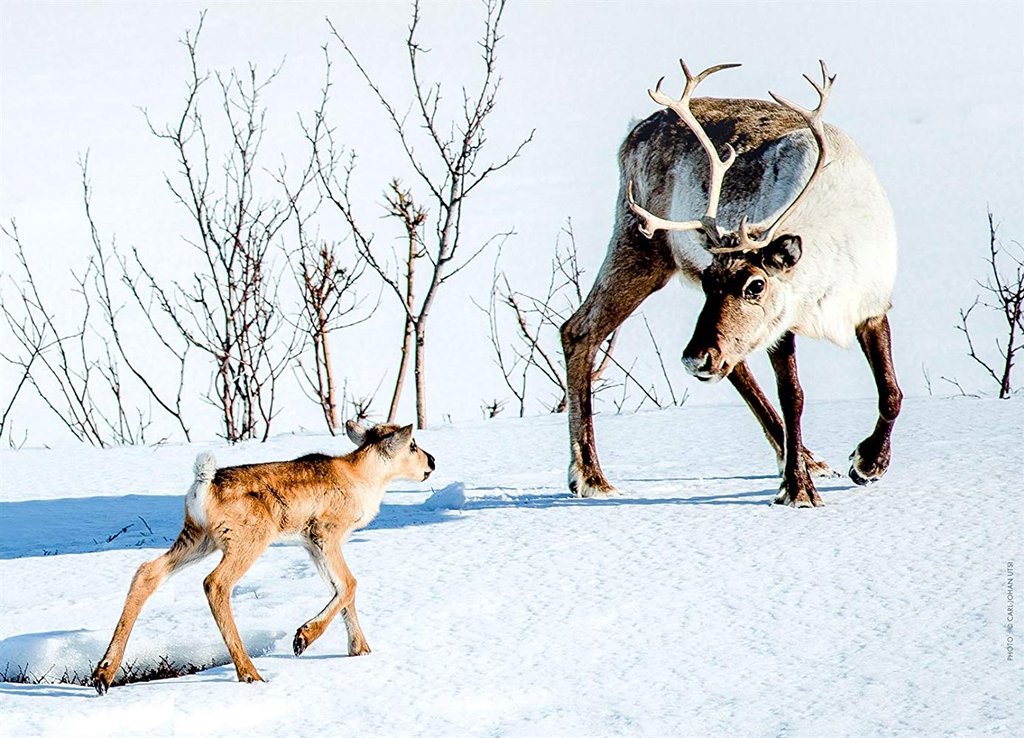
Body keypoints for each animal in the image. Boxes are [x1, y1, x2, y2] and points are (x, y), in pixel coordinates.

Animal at [91, 421, 436, 694]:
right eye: (412, 444)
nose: (432, 460)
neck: (363, 479)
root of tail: (203, 485)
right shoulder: (326, 532)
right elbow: (350, 583)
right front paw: (303, 638)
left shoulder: (310, 543)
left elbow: (341, 588)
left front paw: (360, 650)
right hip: (247, 539)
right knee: (215, 582)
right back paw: (250, 673)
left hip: (198, 537)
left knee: (147, 571)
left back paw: (103, 674)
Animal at [560, 58, 901, 507]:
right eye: (709, 279)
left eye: (755, 284)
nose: (693, 359)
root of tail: (633, 133)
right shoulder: (781, 325)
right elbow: (794, 397)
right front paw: (797, 490)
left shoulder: (872, 306)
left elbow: (891, 392)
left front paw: (868, 464)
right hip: (640, 244)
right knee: (579, 330)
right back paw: (589, 476)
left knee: (732, 363)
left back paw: (809, 457)